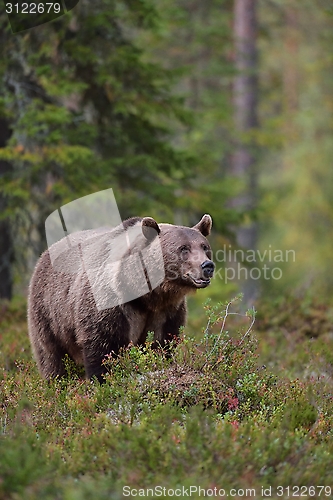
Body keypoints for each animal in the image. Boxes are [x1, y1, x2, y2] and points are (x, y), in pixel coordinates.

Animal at [27, 213, 213, 380]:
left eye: (204, 247)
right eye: (184, 248)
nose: (207, 266)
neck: (147, 295)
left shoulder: (167, 310)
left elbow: (162, 342)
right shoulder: (110, 303)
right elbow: (102, 345)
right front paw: (103, 379)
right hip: (49, 314)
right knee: (52, 355)